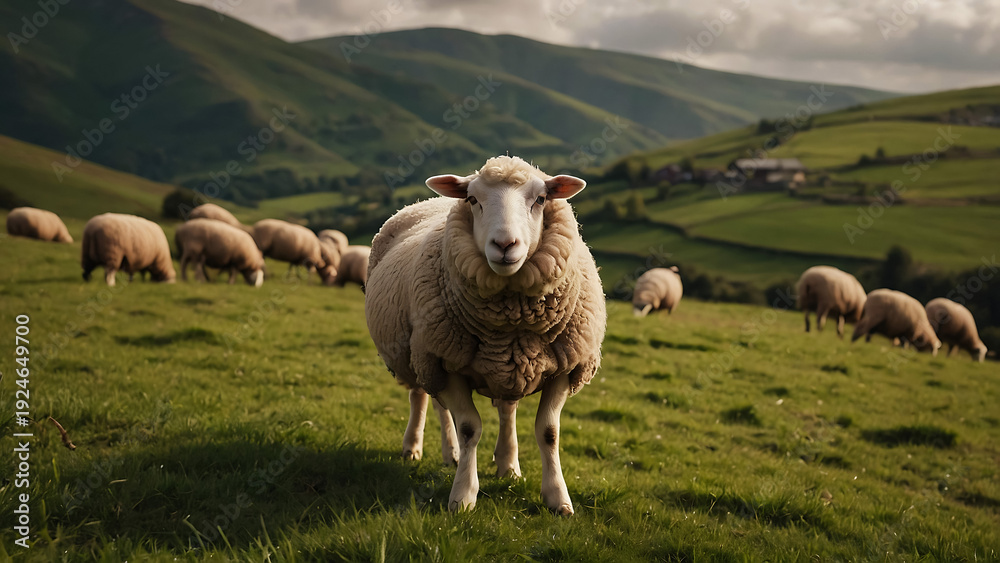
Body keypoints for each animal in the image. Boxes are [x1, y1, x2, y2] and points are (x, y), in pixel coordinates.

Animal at [365, 155, 606, 515]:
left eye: (540, 199)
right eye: (472, 199)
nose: (505, 245)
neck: (512, 322)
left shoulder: (567, 366)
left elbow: (548, 432)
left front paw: (558, 499)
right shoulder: (444, 361)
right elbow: (469, 429)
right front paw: (463, 496)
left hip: (499, 364)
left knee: (501, 409)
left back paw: (504, 464)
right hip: (419, 355)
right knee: (422, 397)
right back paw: (416, 447)